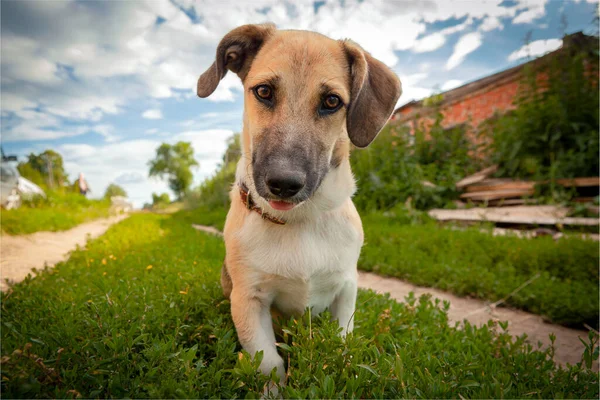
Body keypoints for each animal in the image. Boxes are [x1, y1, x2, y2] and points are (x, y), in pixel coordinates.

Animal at [198, 23, 404, 390]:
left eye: (332, 101)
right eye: (264, 91)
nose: (283, 182)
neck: (300, 221)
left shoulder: (346, 290)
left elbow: (342, 341)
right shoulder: (249, 300)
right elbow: (267, 361)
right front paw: (272, 391)